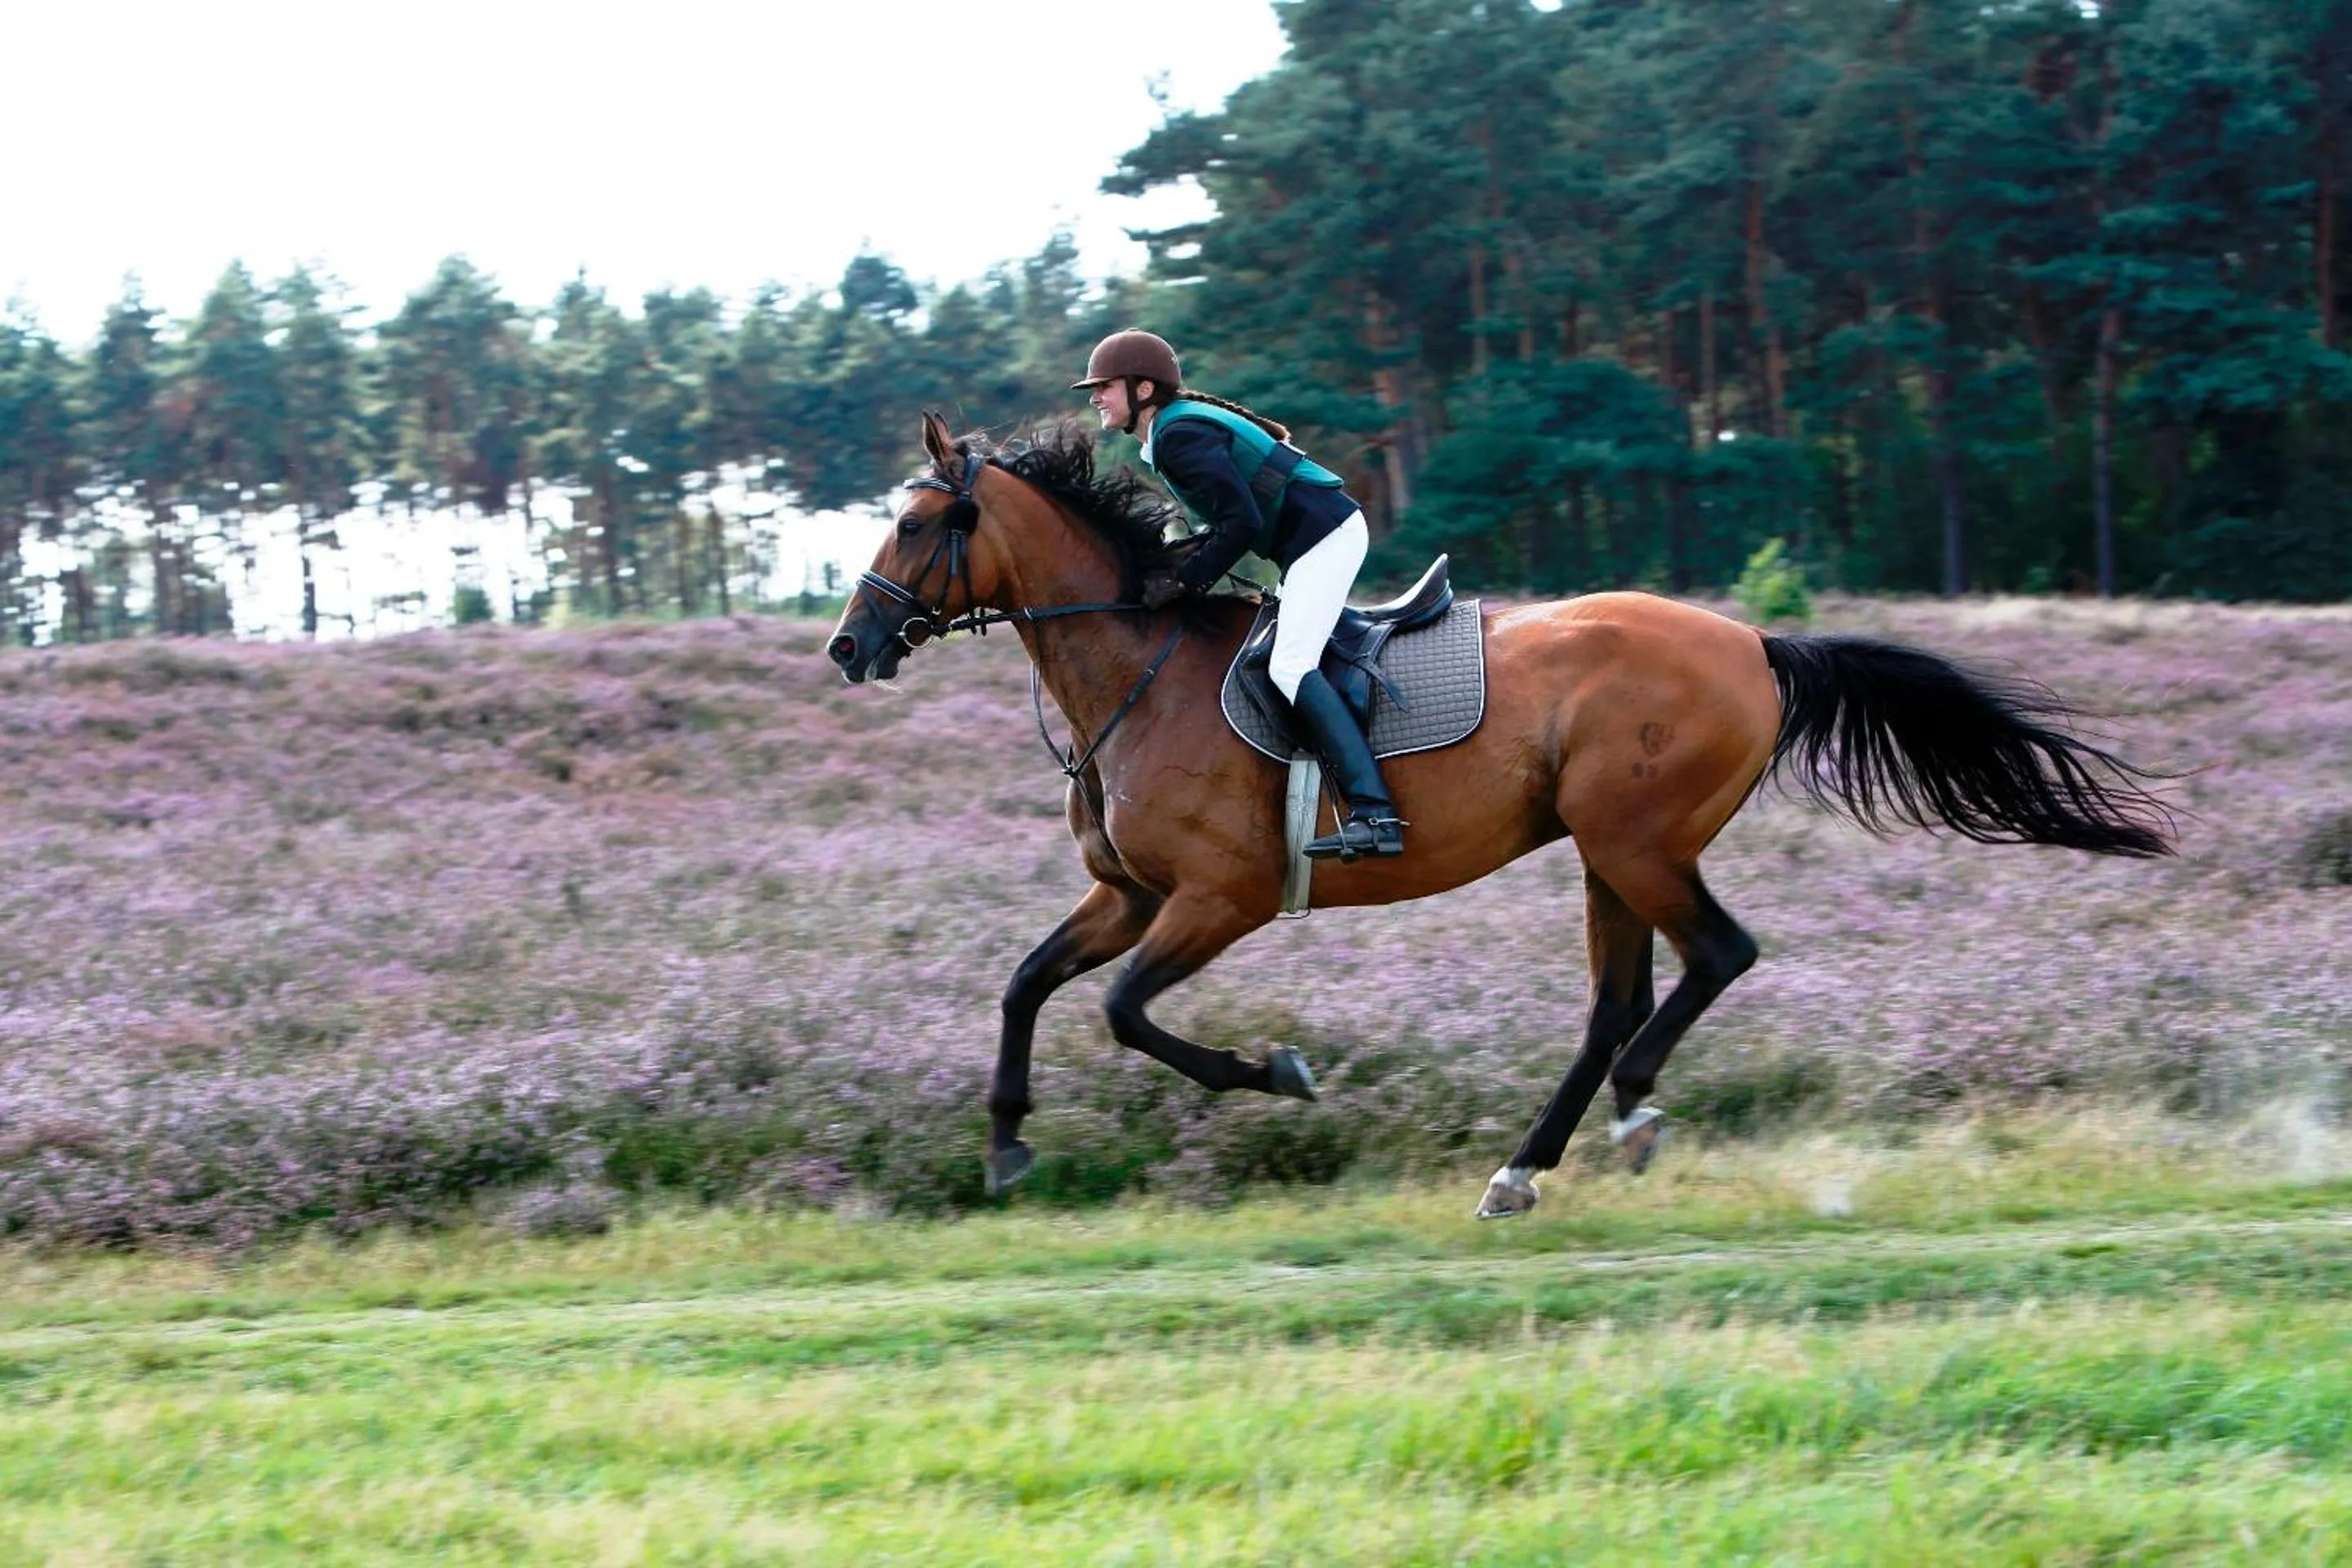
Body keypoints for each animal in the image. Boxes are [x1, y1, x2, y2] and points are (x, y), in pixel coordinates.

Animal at [826, 413, 2175, 1218]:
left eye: (919, 521)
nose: (849, 646)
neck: (1135, 671)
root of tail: (1754, 640)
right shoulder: (1130, 894)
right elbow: (1027, 985)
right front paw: (1006, 1146)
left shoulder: (1220, 899)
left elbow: (1122, 1014)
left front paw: (1279, 1072)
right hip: (1606, 854)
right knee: (1621, 997)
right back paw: (1533, 1163)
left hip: (1637, 838)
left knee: (1714, 958)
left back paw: (1626, 1106)